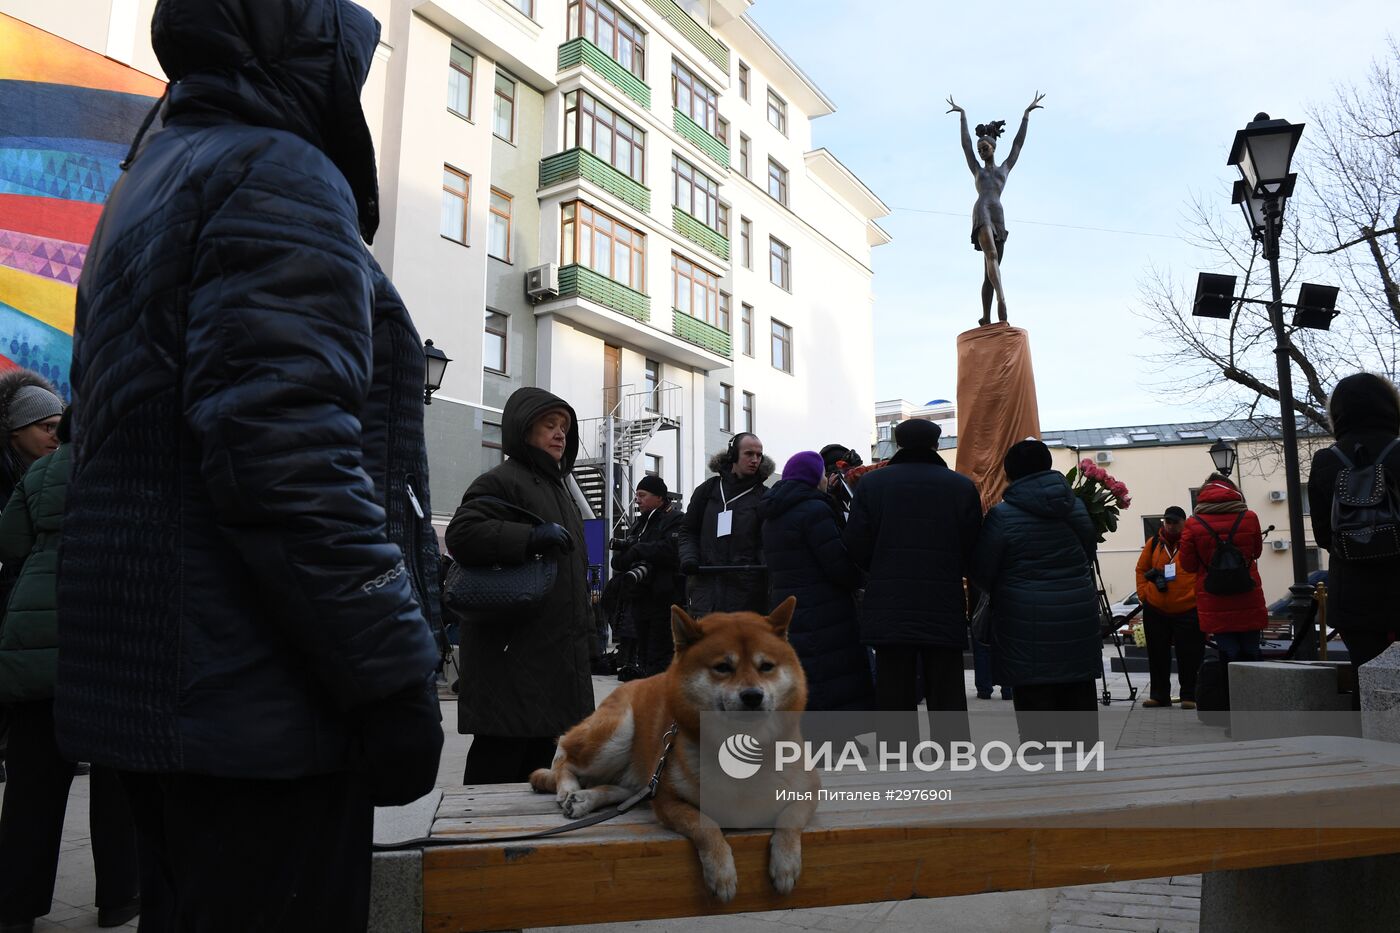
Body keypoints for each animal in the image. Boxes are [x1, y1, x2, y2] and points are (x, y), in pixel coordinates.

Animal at [526, 596, 817, 902]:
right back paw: (568, 789)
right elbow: (705, 825)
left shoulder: (809, 788)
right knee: (564, 752)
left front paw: (785, 864)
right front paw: (721, 872)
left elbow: (790, 817)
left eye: (767, 666)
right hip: (617, 734)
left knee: (626, 789)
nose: (752, 696)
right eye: (723, 667)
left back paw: (583, 799)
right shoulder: (667, 800)